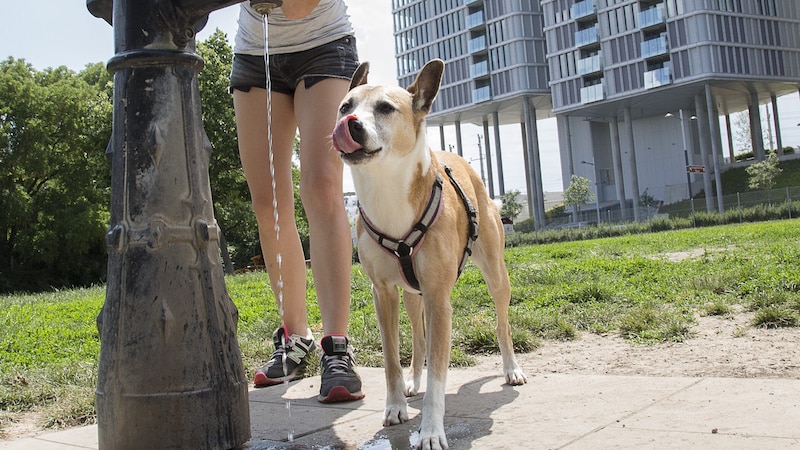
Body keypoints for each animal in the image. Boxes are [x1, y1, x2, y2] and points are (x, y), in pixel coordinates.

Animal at [330, 59, 524, 450]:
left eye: (385, 108)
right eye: (345, 106)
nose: (350, 123)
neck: (387, 191)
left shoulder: (438, 297)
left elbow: (439, 370)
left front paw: (432, 430)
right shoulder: (383, 293)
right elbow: (392, 358)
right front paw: (395, 406)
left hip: (495, 273)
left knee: (502, 322)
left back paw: (511, 369)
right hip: (410, 294)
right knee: (419, 340)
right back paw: (413, 382)